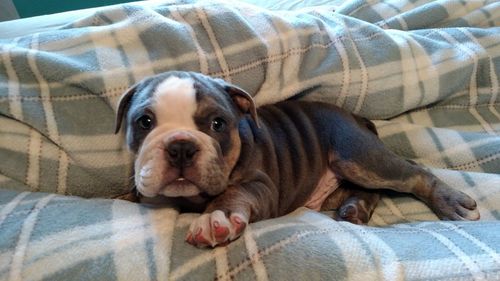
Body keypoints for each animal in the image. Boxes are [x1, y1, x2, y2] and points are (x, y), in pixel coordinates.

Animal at [114, 71, 480, 246]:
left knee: (414, 172)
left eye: (218, 124)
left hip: (359, 155)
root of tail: (356, 117)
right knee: (367, 191)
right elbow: (135, 193)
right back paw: (354, 208)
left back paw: (451, 203)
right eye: (144, 122)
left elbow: (232, 194)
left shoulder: (259, 185)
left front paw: (215, 218)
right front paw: (123, 197)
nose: (180, 146)